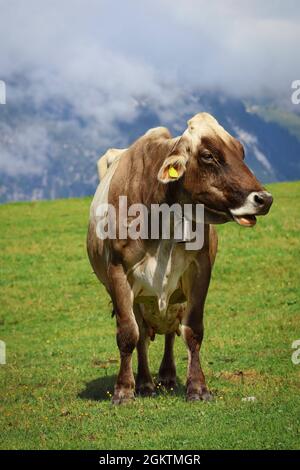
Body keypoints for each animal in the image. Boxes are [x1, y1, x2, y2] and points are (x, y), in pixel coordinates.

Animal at [86, 113, 272, 404]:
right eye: (208, 155)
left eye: (241, 151)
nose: (264, 199)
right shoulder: (118, 272)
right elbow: (128, 334)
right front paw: (124, 390)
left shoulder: (200, 269)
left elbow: (192, 331)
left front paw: (198, 388)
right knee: (141, 335)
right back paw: (145, 383)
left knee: (170, 331)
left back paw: (167, 376)